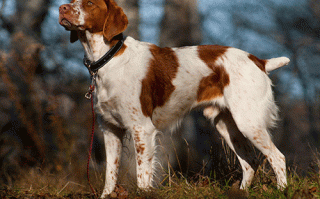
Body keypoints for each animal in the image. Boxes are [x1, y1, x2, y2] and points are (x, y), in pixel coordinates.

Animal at [58, 0, 290, 197]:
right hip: (227, 125)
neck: (108, 59)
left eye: (89, 3)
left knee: (277, 157)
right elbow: (110, 174)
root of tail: (259, 61)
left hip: (249, 122)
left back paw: (281, 190)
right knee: (250, 162)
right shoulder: (110, 129)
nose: (62, 8)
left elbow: (142, 174)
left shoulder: (142, 128)